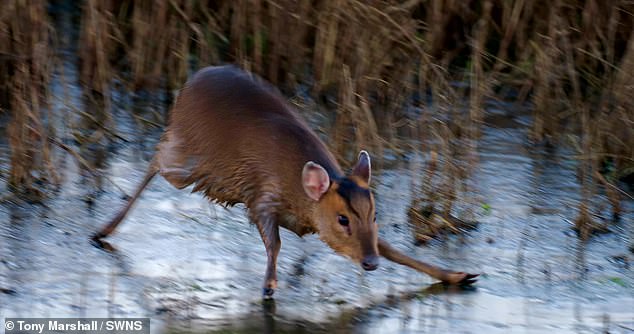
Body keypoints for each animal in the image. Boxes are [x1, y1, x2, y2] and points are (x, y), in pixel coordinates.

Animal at [92, 64, 474, 298]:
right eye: (342, 219)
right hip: (189, 164)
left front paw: (458, 274)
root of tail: (191, 81)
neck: (300, 196)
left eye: (375, 214)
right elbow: (274, 243)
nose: (370, 264)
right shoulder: (261, 197)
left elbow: (394, 248)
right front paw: (269, 286)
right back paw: (104, 230)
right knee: (155, 158)